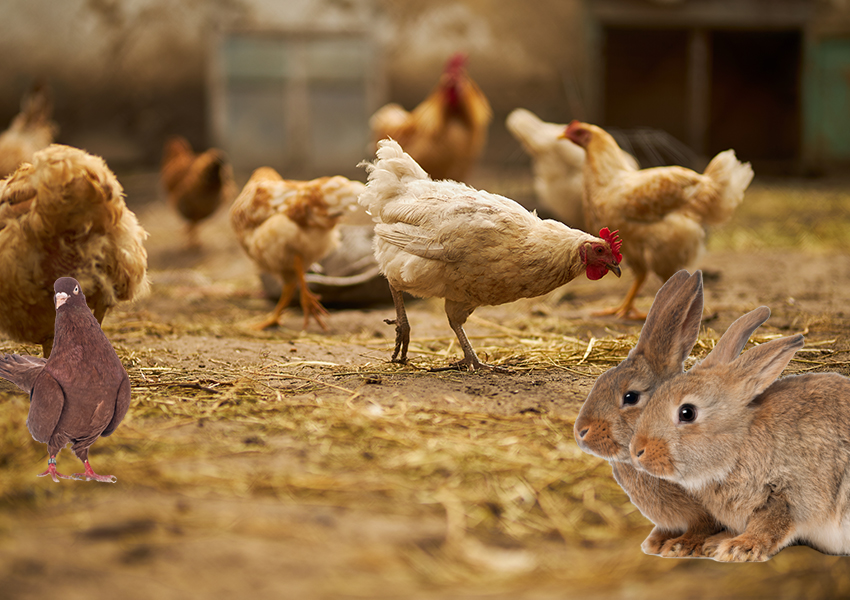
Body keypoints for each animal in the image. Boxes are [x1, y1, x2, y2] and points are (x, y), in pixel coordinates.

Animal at [628, 310, 848, 564]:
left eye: (687, 413)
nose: (636, 451)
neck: (740, 443)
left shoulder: (791, 492)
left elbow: (769, 524)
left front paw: (738, 548)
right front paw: (715, 544)